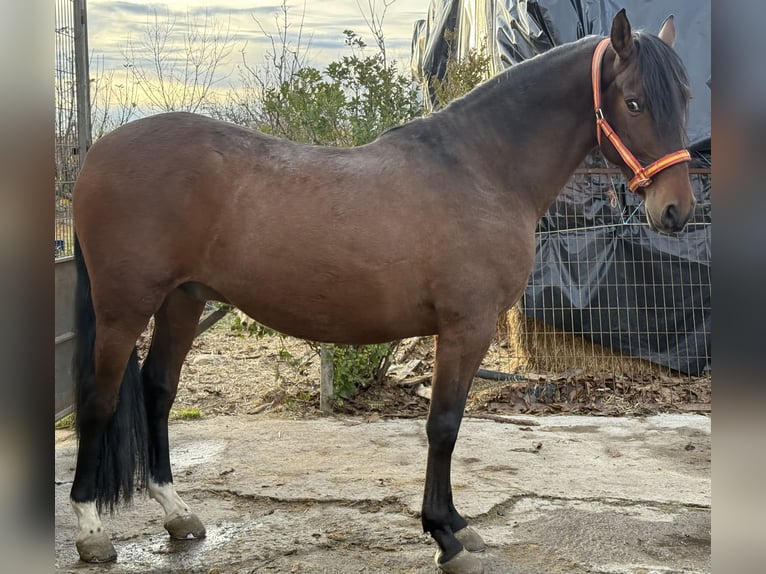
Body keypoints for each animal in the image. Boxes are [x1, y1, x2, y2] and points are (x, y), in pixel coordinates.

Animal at [68, 10, 694, 574]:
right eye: (634, 102)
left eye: (686, 98)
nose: (676, 211)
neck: (482, 170)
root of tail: (98, 154)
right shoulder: (465, 327)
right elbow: (443, 425)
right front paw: (445, 536)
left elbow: (449, 425)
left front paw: (457, 524)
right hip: (125, 307)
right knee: (99, 399)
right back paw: (92, 532)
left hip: (184, 298)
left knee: (158, 389)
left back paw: (177, 514)